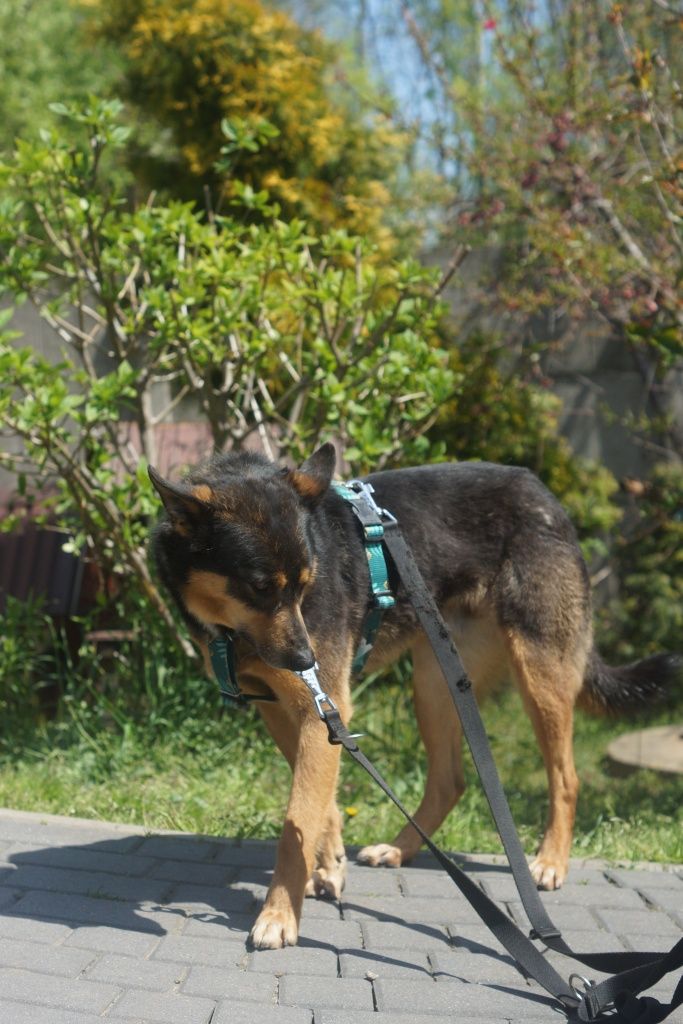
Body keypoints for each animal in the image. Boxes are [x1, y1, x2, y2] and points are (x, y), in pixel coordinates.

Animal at [148, 448, 679, 950]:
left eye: (306, 584)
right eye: (258, 587)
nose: (305, 659)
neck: (230, 629)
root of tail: (544, 493)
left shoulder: (320, 704)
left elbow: (296, 819)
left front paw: (278, 916)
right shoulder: (286, 709)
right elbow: (319, 800)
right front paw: (330, 862)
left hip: (539, 671)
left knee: (565, 778)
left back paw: (550, 862)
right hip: (434, 683)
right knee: (449, 782)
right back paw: (400, 850)